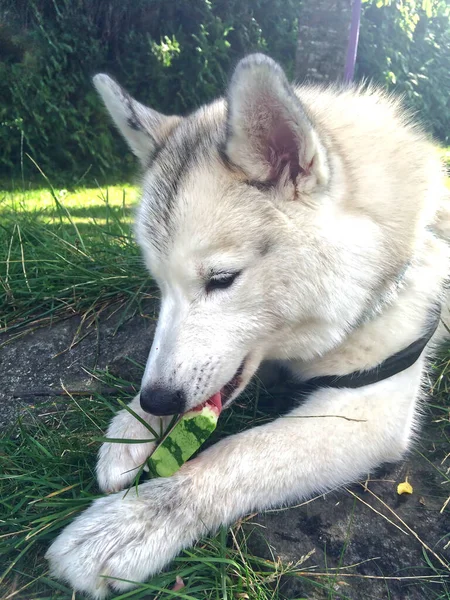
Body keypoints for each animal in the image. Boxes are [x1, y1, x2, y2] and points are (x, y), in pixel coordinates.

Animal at [45, 55, 450, 596]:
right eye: (159, 285)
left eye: (222, 279)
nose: (157, 401)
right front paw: (134, 425)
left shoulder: (371, 408)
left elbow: (239, 454)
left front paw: (137, 521)